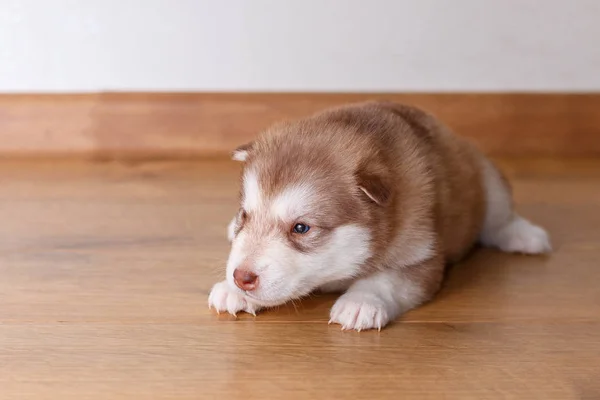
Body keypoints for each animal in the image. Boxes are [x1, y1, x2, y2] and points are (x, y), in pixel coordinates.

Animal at [207, 101, 552, 332]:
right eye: (245, 215)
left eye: (301, 228)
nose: (242, 276)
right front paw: (231, 289)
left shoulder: (423, 253)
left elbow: (387, 278)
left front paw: (361, 302)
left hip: (489, 182)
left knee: (499, 219)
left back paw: (526, 237)